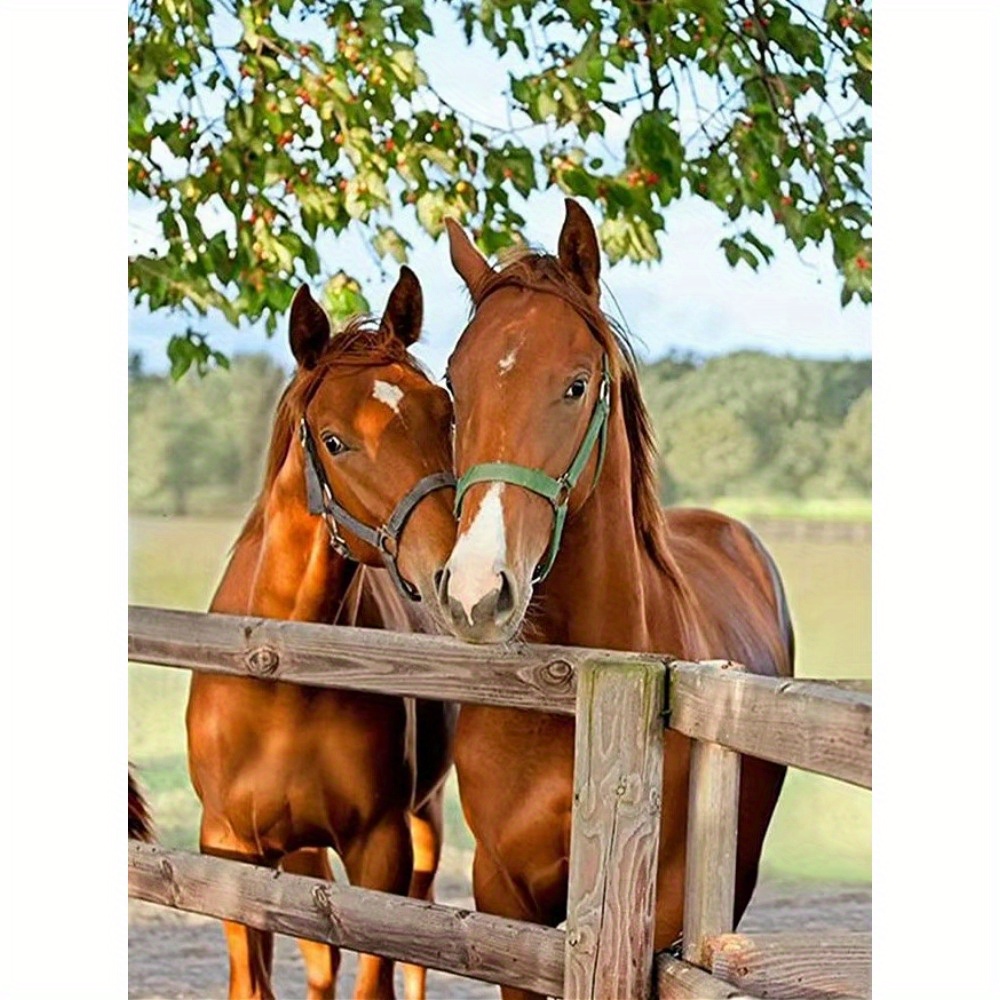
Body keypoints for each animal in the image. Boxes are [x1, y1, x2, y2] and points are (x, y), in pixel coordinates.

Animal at [184, 266, 458, 1000]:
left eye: (445, 414)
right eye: (334, 440)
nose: (452, 569)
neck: (283, 676)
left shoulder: (381, 848)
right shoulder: (231, 852)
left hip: (424, 823)